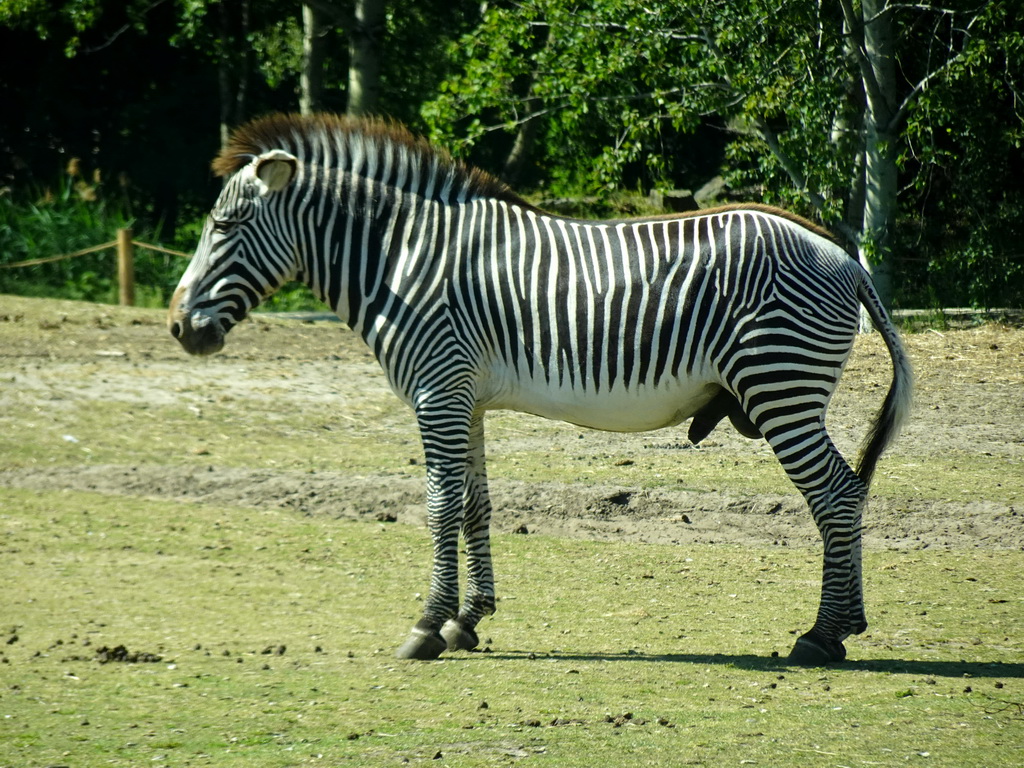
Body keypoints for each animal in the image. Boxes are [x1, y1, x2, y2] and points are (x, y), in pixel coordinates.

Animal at [167, 114, 913, 667]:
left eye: (225, 227)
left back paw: (823, 635)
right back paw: (842, 627)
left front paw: (427, 625)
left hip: (779, 385)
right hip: (785, 388)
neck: (403, 259)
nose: (178, 327)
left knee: (835, 494)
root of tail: (844, 257)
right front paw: (468, 621)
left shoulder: (437, 391)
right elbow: (475, 504)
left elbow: (439, 506)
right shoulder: (464, 398)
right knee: (846, 491)